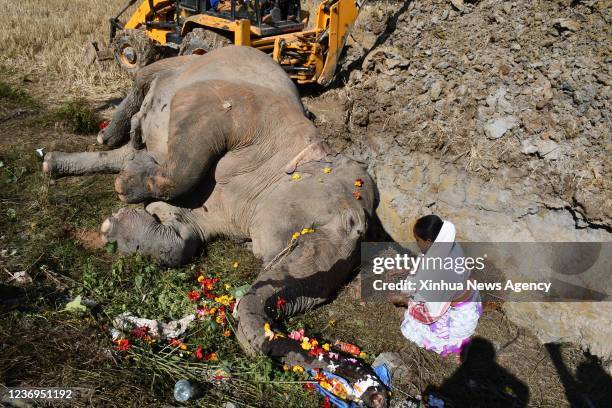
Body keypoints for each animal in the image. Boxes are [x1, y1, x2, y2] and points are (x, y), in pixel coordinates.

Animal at [41, 47, 388, 404]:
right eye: (353, 224)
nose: (376, 395)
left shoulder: (223, 210)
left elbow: (185, 237)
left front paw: (117, 222)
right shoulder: (240, 111)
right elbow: (184, 159)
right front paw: (128, 186)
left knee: (122, 153)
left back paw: (58, 163)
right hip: (184, 61)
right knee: (144, 80)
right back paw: (115, 134)